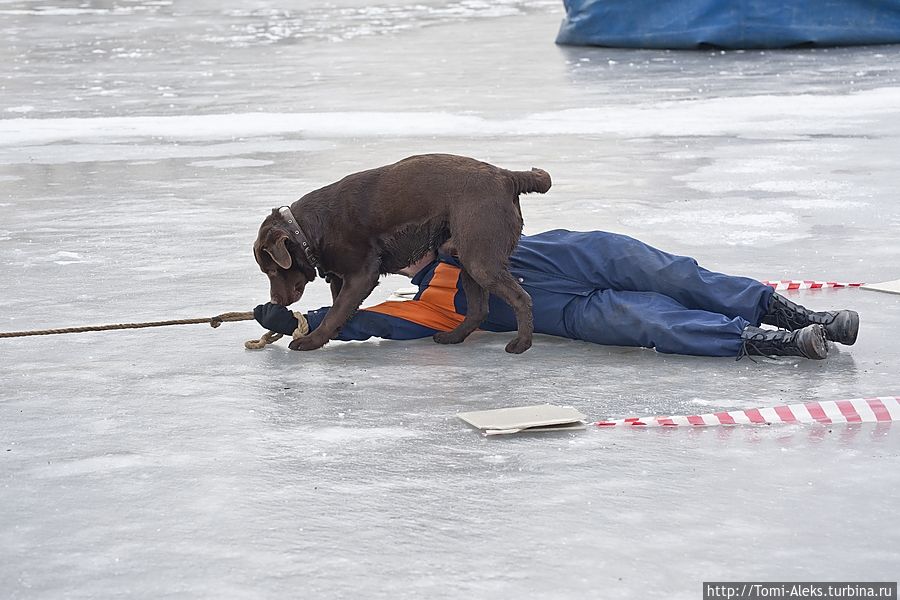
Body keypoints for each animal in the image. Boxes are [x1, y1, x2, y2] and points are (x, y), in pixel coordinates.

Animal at [251, 152, 548, 354]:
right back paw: (452, 337)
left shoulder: (362, 274)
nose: (275, 301)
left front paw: (311, 340)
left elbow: (335, 311)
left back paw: (521, 343)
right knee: (478, 309)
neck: (308, 230)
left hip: (480, 257)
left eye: (274, 270)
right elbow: (338, 307)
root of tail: (508, 176)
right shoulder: (340, 277)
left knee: (521, 298)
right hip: (468, 256)